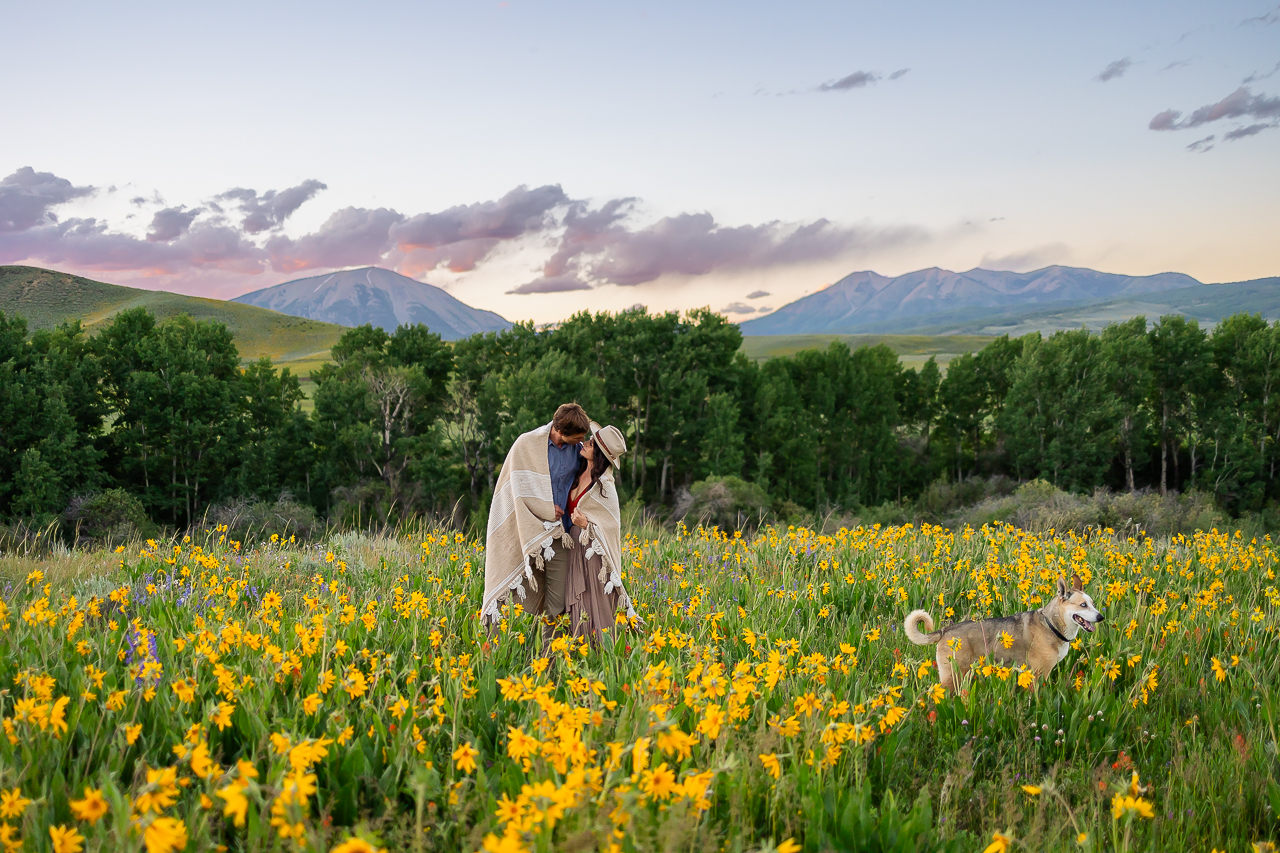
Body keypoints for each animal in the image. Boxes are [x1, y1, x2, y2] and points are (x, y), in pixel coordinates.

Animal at [906, 571, 1105, 691]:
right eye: (1083, 605)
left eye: (1093, 603)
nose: (1101, 617)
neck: (1051, 624)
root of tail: (945, 630)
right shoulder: (1038, 674)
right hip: (952, 676)